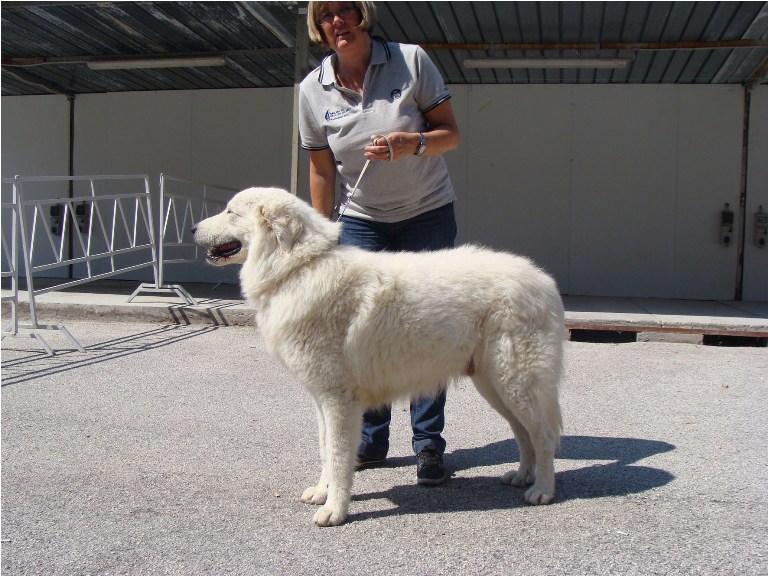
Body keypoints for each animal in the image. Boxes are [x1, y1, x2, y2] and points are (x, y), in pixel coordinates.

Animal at [193, 187, 565, 527]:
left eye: (229, 212)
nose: (193, 228)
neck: (300, 268)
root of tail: (544, 281)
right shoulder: (322, 399)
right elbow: (326, 449)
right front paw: (322, 493)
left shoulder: (338, 400)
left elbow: (339, 456)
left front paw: (335, 510)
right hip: (495, 386)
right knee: (524, 434)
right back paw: (522, 476)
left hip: (515, 382)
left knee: (545, 436)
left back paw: (542, 490)